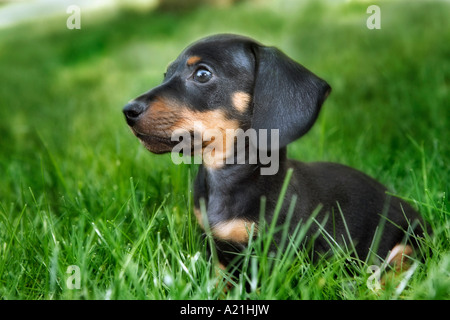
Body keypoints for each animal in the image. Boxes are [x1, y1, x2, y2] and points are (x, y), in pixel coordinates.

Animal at [123, 33, 426, 276]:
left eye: (202, 74)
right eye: (166, 75)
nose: (128, 111)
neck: (231, 176)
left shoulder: (272, 254)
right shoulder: (215, 249)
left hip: (408, 241)